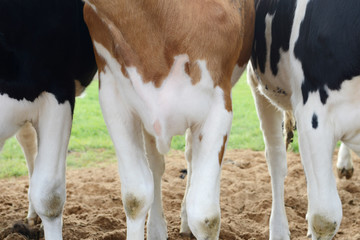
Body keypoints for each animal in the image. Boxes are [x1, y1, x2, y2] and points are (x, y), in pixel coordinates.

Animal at [83, 0, 255, 239]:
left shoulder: (218, 106)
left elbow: (206, 216)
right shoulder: (113, 97)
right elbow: (136, 197)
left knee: (192, 161)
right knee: (157, 167)